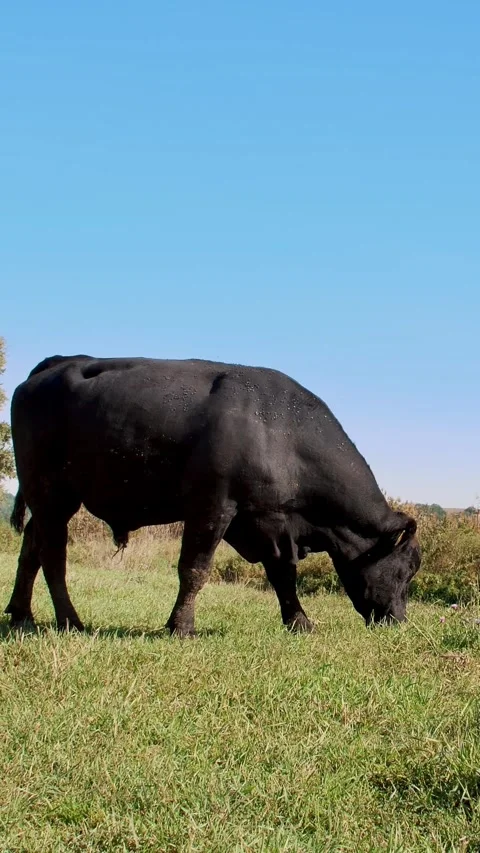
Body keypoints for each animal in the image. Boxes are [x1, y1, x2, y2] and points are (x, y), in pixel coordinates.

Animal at [6, 355, 421, 635]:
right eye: (405, 570)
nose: (398, 620)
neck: (280, 431)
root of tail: (59, 362)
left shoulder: (268, 521)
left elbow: (282, 575)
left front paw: (300, 621)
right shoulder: (214, 507)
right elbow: (194, 568)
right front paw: (181, 626)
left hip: (49, 501)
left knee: (31, 548)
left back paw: (22, 614)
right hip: (52, 495)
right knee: (53, 556)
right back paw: (69, 620)